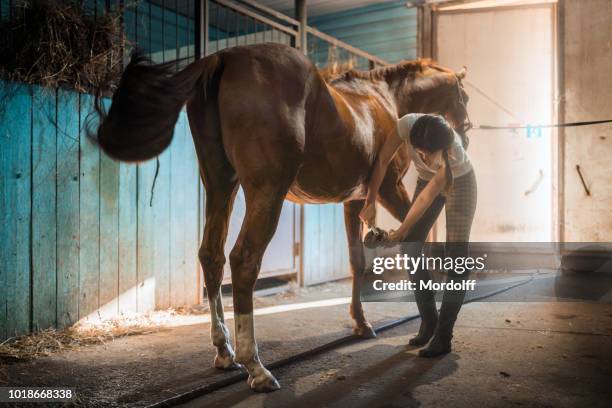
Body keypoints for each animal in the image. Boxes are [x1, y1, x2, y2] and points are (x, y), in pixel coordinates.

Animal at [95, 42, 470, 392]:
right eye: (463, 96)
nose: (464, 132)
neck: (382, 100)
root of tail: (224, 57)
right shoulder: (389, 190)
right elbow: (415, 239)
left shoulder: (354, 202)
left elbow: (357, 261)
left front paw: (362, 324)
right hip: (266, 192)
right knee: (244, 260)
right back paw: (257, 368)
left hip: (220, 184)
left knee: (212, 256)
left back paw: (225, 352)